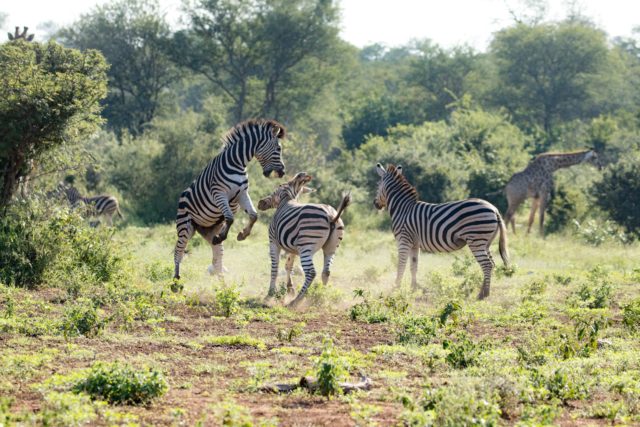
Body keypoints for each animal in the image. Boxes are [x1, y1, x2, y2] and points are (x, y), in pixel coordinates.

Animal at [173, 119, 286, 280]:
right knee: (179, 251)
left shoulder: (242, 194)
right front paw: (224, 236)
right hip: (185, 226)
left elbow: (253, 215)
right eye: (278, 148)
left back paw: (221, 279)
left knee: (217, 255)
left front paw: (242, 234)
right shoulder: (219, 193)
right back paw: (176, 280)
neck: (237, 163)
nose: (283, 172)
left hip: (209, 229)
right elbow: (230, 218)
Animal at [261, 172, 351, 307]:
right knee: (326, 272)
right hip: (331, 248)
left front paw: (270, 294)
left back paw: (296, 301)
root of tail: (331, 215)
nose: (260, 203)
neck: (286, 200)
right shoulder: (293, 248)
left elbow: (275, 268)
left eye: (274, 191)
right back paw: (321, 297)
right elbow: (288, 266)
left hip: (307, 246)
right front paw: (290, 289)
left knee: (311, 272)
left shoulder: (273, 242)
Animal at [374, 163, 509, 299]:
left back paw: (483, 295)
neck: (403, 209)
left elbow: (401, 265)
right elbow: (413, 266)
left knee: (487, 264)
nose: (375, 204)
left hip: (476, 240)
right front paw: (413, 289)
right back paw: (483, 292)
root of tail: (494, 209)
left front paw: (395, 288)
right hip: (486, 242)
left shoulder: (403, 240)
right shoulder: (414, 244)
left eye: (378, 185)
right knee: (491, 264)